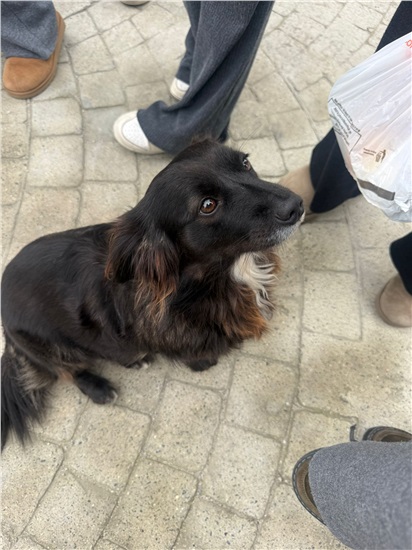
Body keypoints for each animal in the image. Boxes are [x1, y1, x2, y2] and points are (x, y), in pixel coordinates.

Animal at [1, 140, 303, 449]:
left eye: (245, 163)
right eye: (207, 205)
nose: (296, 205)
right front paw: (203, 361)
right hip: (54, 346)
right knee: (68, 371)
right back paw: (100, 385)